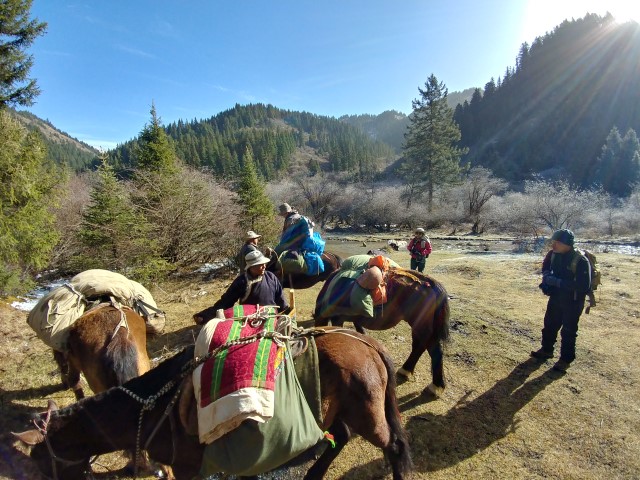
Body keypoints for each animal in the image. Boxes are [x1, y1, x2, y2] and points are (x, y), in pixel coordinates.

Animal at [16, 328, 416, 480]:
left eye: (43, 461)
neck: (149, 410)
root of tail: (365, 341)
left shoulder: (187, 467)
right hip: (336, 409)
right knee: (341, 437)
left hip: (367, 413)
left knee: (394, 446)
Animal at [316, 268, 450, 396]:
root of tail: (429, 283)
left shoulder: (337, 318)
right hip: (419, 325)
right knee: (419, 346)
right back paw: (406, 370)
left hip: (421, 326)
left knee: (434, 351)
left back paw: (435, 387)